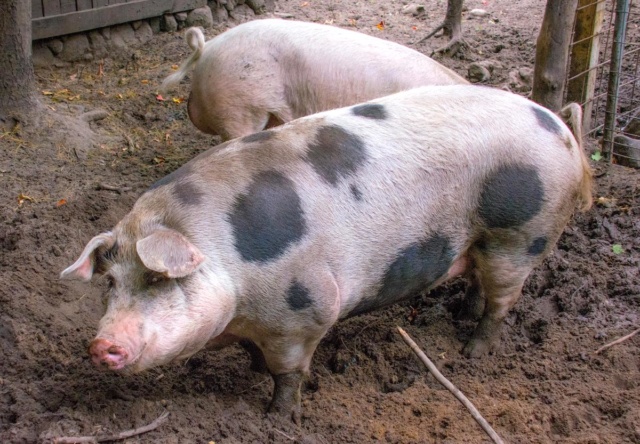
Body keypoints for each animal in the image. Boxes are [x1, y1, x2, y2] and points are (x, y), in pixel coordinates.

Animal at [61, 85, 592, 421]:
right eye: (111, 283)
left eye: (159, 279)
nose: (101, 344)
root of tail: (561, 128)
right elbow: (257, 355)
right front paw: (253, 371)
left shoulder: (307, 307)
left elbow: (289, 372)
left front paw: (277, 420)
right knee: (477, 281)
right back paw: (461, 317)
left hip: (522, 233)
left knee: (503, 299)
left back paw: (472, 352)